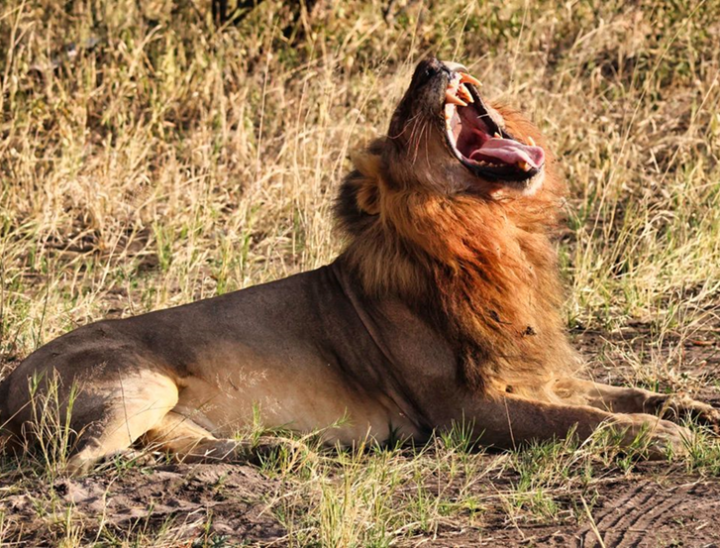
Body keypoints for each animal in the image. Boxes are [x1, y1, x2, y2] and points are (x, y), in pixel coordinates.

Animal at [1, 57, 720, 474]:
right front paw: (659, 437)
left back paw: (279, 451)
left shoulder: (534, 373)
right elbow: (583, 419)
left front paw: (694, 411)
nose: (432, 61)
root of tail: (9, 384)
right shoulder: (463, 410)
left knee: (173, 444)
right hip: (138, 383)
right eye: (402, 120)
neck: (492, 235)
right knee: (73, 462)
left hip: (165, 404)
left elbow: (627, 392)